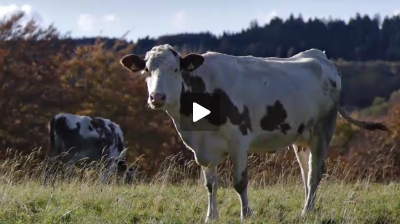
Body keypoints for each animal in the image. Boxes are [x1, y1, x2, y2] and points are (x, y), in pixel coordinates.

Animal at [118, 44, 388, 222]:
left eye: (176, 70)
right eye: (146, 70)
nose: (157, 97)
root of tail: (320, 56)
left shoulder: (239, 141)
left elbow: (239, 182)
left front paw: (246, 214)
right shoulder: (202, 149)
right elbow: (210, 185)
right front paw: (211, 216)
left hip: (323, 129)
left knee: (315, 172)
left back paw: (306, 211)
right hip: (301, 137)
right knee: (306, 171)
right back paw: (308, 207)